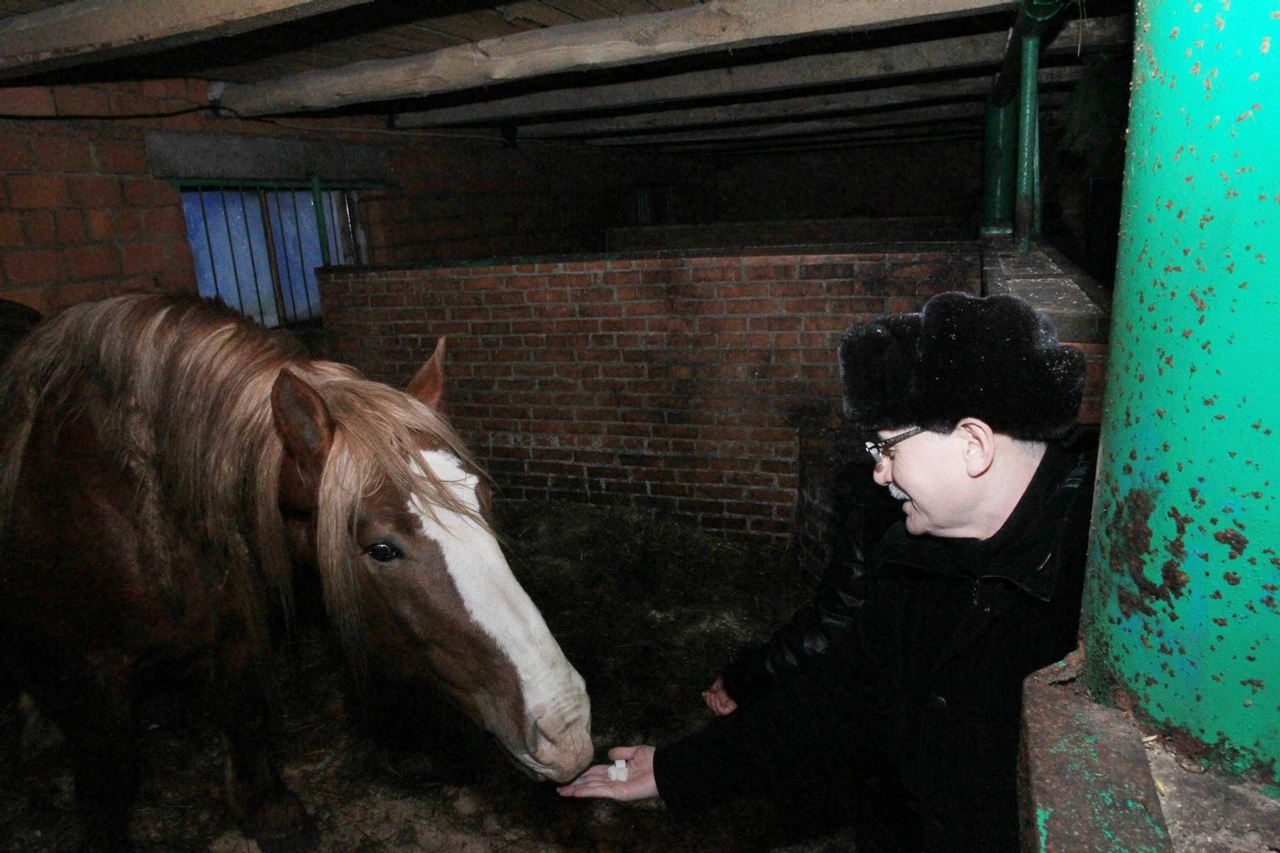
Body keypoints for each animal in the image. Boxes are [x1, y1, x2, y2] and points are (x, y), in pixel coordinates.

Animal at [0, 293, 592, 852]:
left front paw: (268, 813)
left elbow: (245, 717)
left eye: (485, 501)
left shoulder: (235, 631)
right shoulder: (93, 684)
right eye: (381, 549)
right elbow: (106, 792)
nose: (565, 728)